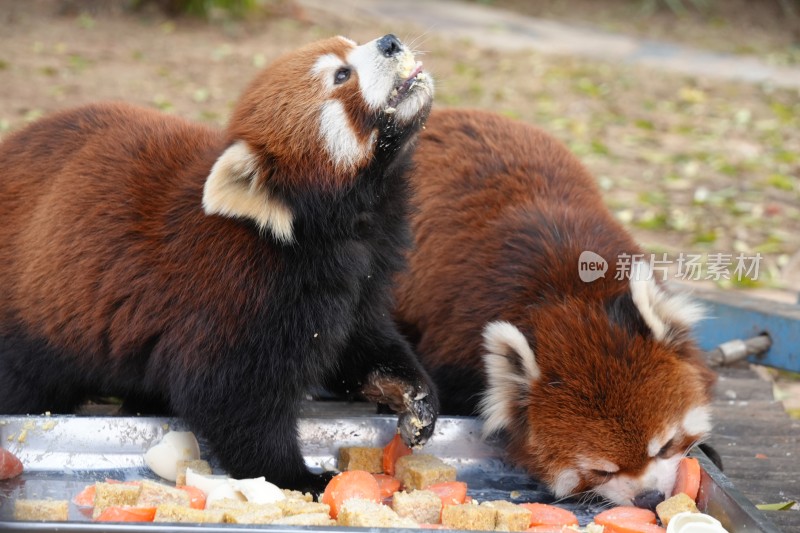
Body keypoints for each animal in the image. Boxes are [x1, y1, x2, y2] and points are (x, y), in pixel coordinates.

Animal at [0, 32, 438, 490]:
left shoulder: (360, 283)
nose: (390, 42)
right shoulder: (238, 294)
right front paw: (300, 480)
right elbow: (227, 398)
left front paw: (412, 396)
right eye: (341, 75)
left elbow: (359, 345)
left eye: (351, 43)